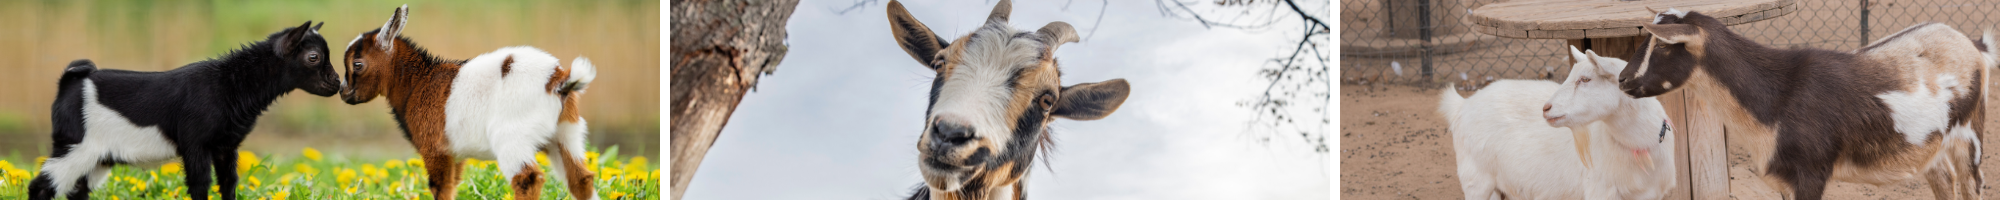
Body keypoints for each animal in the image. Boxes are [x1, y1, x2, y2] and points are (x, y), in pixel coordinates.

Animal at [1440, 46, 1672, 199]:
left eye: (1585, 79)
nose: (1546, 108)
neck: (1640, 148)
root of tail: (1461, 105)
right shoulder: (1599, 191)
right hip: (1476, 180)